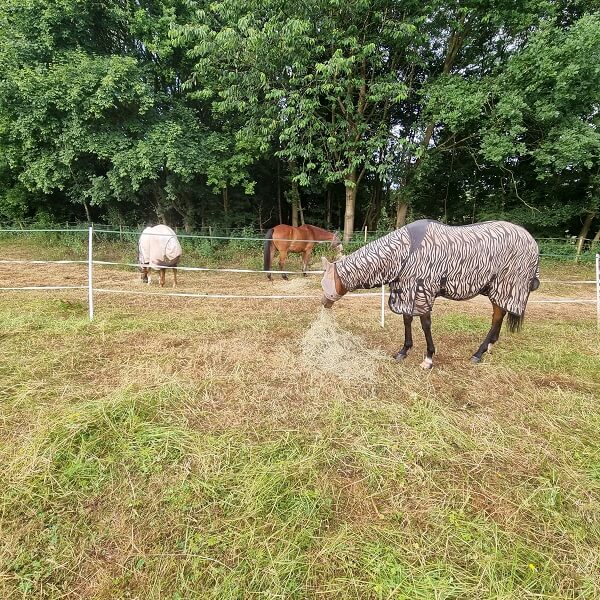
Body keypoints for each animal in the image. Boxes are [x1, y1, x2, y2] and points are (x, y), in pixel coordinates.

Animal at [322, 220, 540, 368]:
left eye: (325, 284)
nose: (324, 303)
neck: (406, 251)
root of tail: (532, 241)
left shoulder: (422, 291)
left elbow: (425, 324)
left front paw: (428, 358)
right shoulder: (408, 291)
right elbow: (407, 320)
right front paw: (404, 351)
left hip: (506, 286)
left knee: (497, 317)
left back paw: (478, 353)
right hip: (499, 288)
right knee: (499, 315)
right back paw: (489, 348)